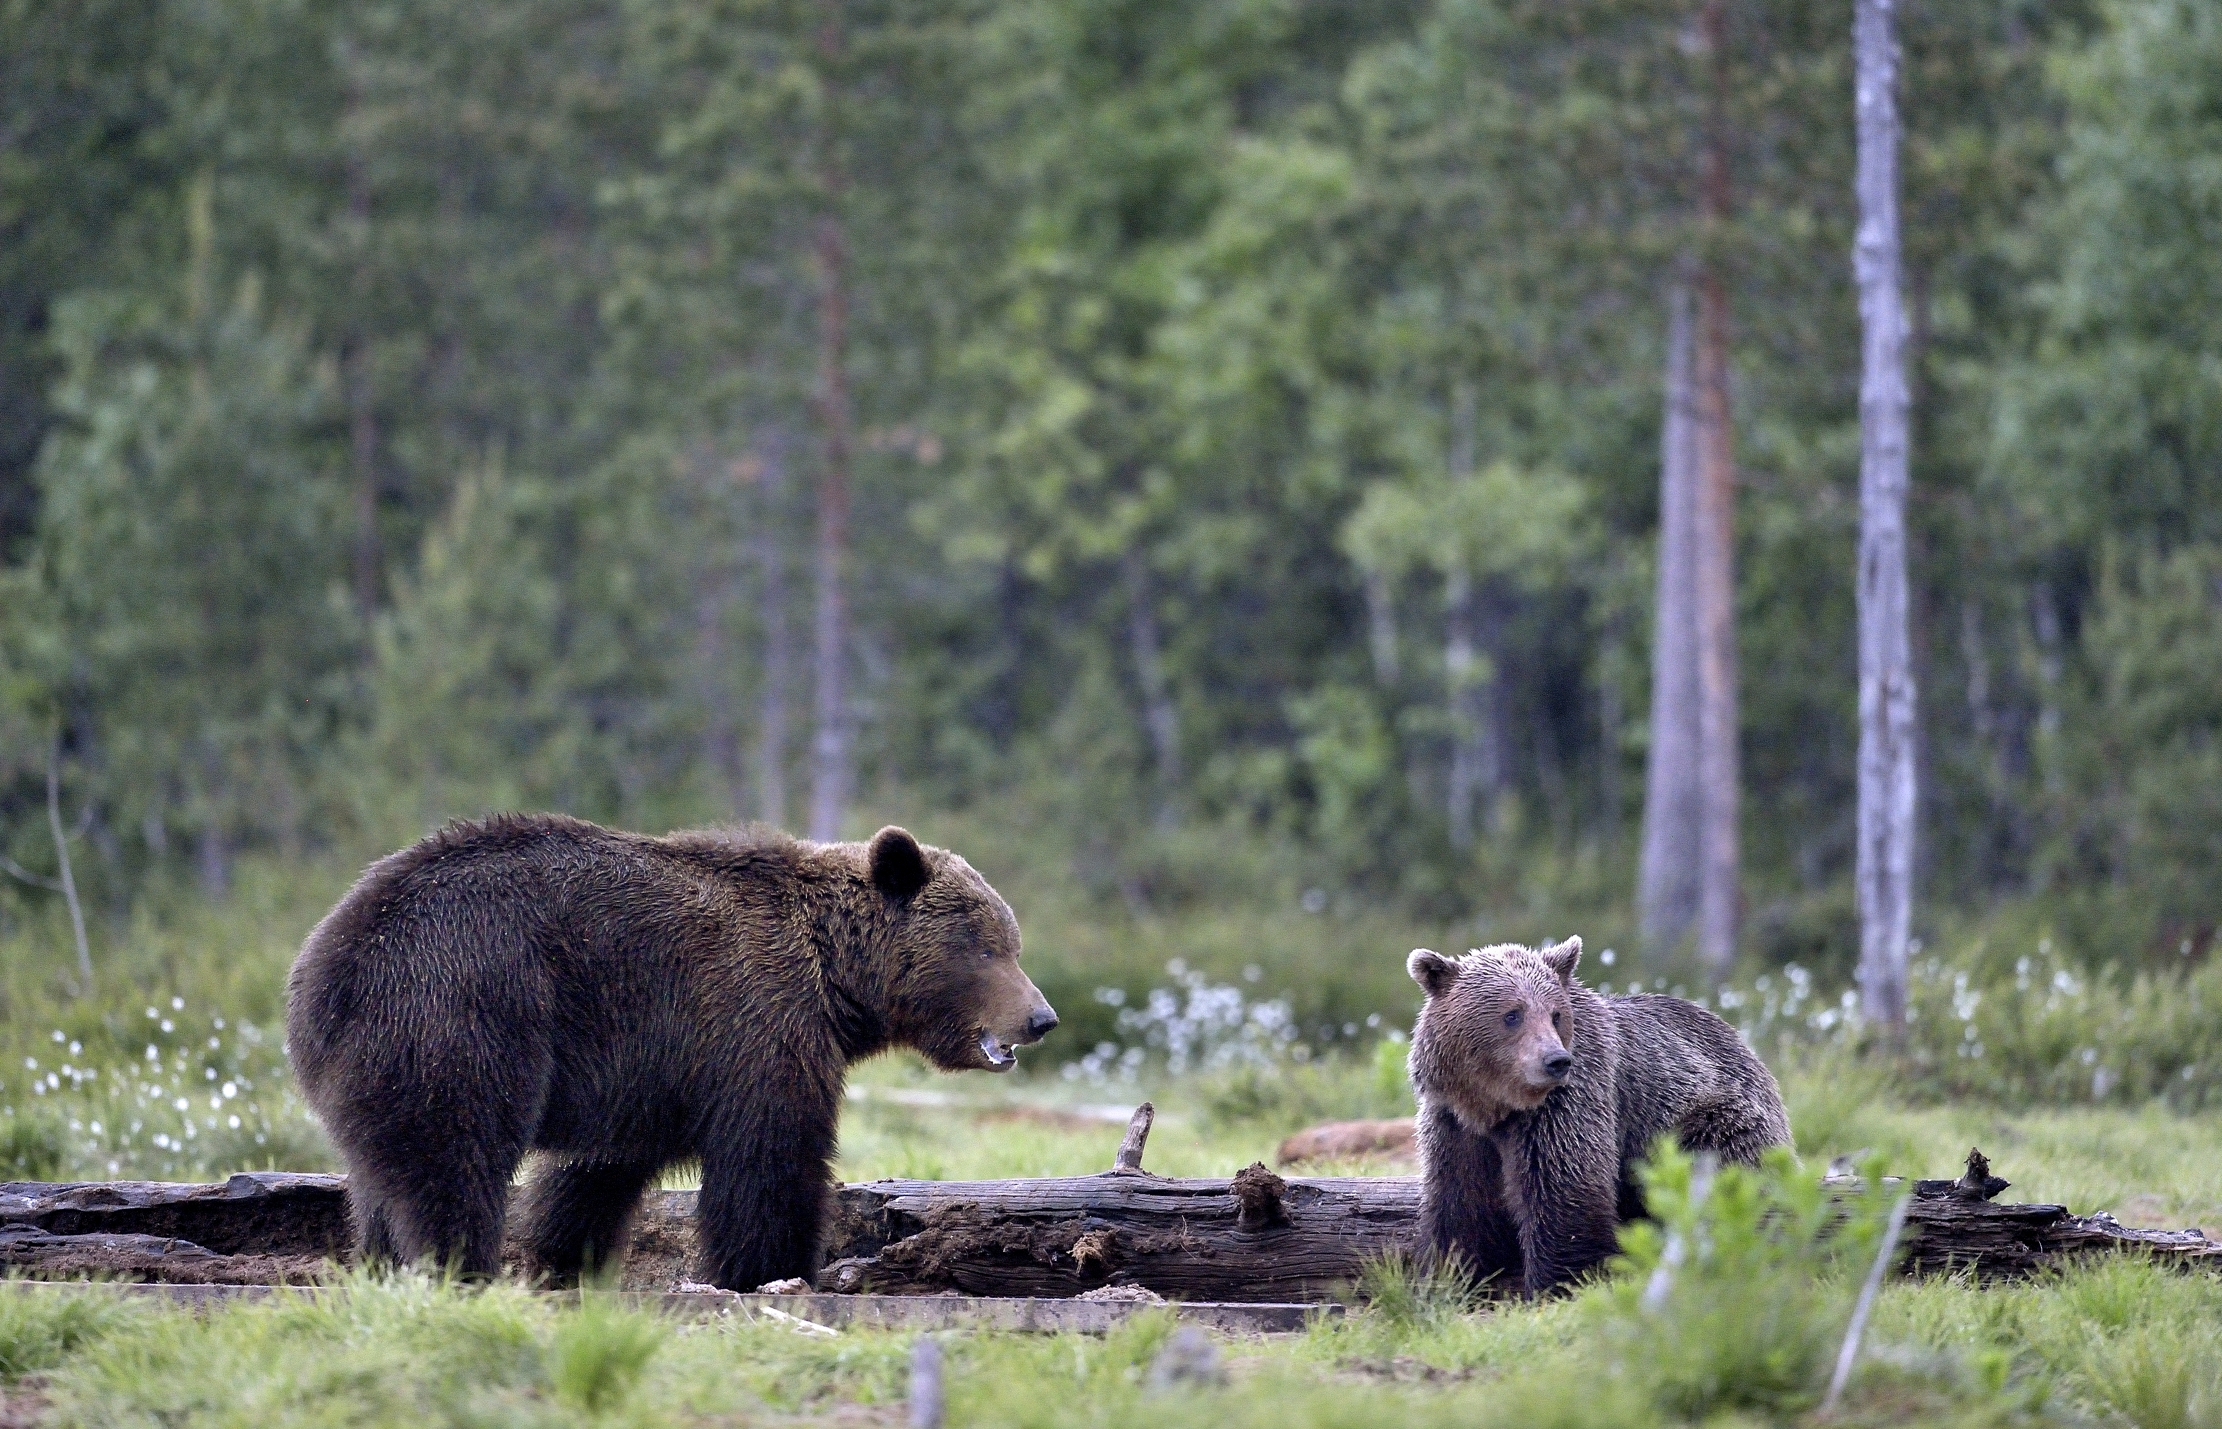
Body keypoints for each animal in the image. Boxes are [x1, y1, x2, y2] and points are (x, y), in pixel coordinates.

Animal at [285, 814, 1057, 1290]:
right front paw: (773, 1268)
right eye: (985, 947)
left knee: (381, 1180)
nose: (1041, 1016)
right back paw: (461, 1268)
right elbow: (770, 1160)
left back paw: (380, 1265)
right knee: (454, 1162)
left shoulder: (649, 1068)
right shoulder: (755, 1021)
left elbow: (595, 1173)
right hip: (461, 1010)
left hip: (381, 1059)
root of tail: (325, 970)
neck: (836, 981)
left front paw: (566, 1257)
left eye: (1012, 942)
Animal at [1406, 936, 1789, 1295]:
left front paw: (1559, 1282)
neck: (1496, 1106)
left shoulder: (1572, 1098)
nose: (1556, 1061)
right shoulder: (1454, 1122)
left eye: (1555, 1014)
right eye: (1512, 1014)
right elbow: (1460, 1202)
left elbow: (1565, 1184)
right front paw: (1445, 1278)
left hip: (1707, 1118)